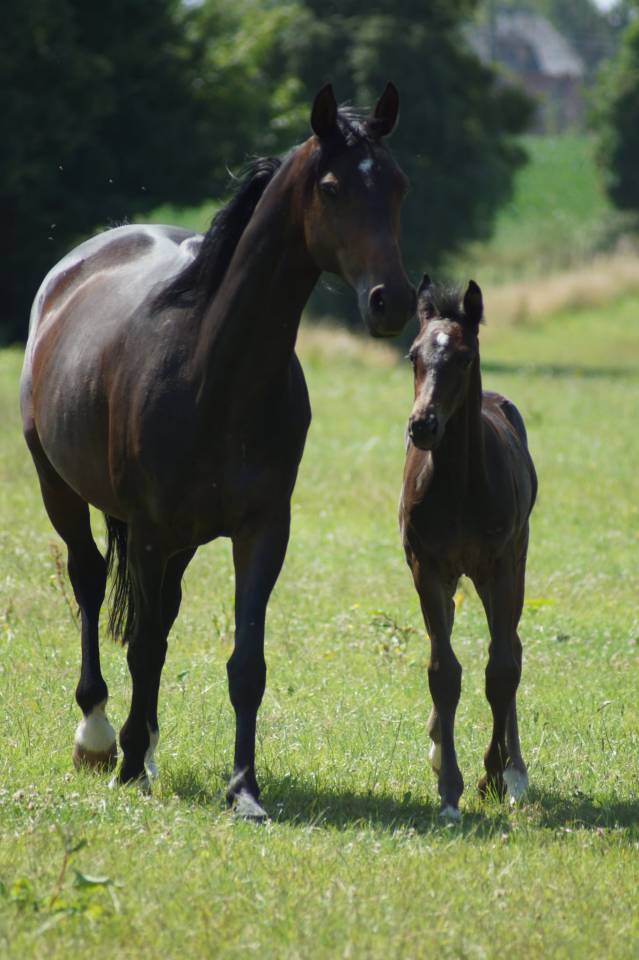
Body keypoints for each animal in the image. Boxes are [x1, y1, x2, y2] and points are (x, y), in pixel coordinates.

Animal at [20, 83, 416, 820]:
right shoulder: (148, 531)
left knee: (160, 611)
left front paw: (244, 789)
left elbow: (244, 663)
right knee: (90, 582)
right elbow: (144, 648)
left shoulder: (261, 531)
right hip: (61, 490)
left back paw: (143, 744)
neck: (214, 373)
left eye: (398, 184)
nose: (392, 301)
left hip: (177, 541)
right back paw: (100, 737)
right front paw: (129, 767)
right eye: (330, 188)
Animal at [399, 277, 537, 819]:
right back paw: (440, 745)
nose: (423, 425)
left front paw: (494, 776)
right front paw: (450, 789)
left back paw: (516, 772)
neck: (458, 484)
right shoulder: (428, 566)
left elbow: (501, 669)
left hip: (512, 562)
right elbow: (444, 670)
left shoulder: (499, 566)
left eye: (463, 357)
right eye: (413, 354)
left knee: (512, 648)